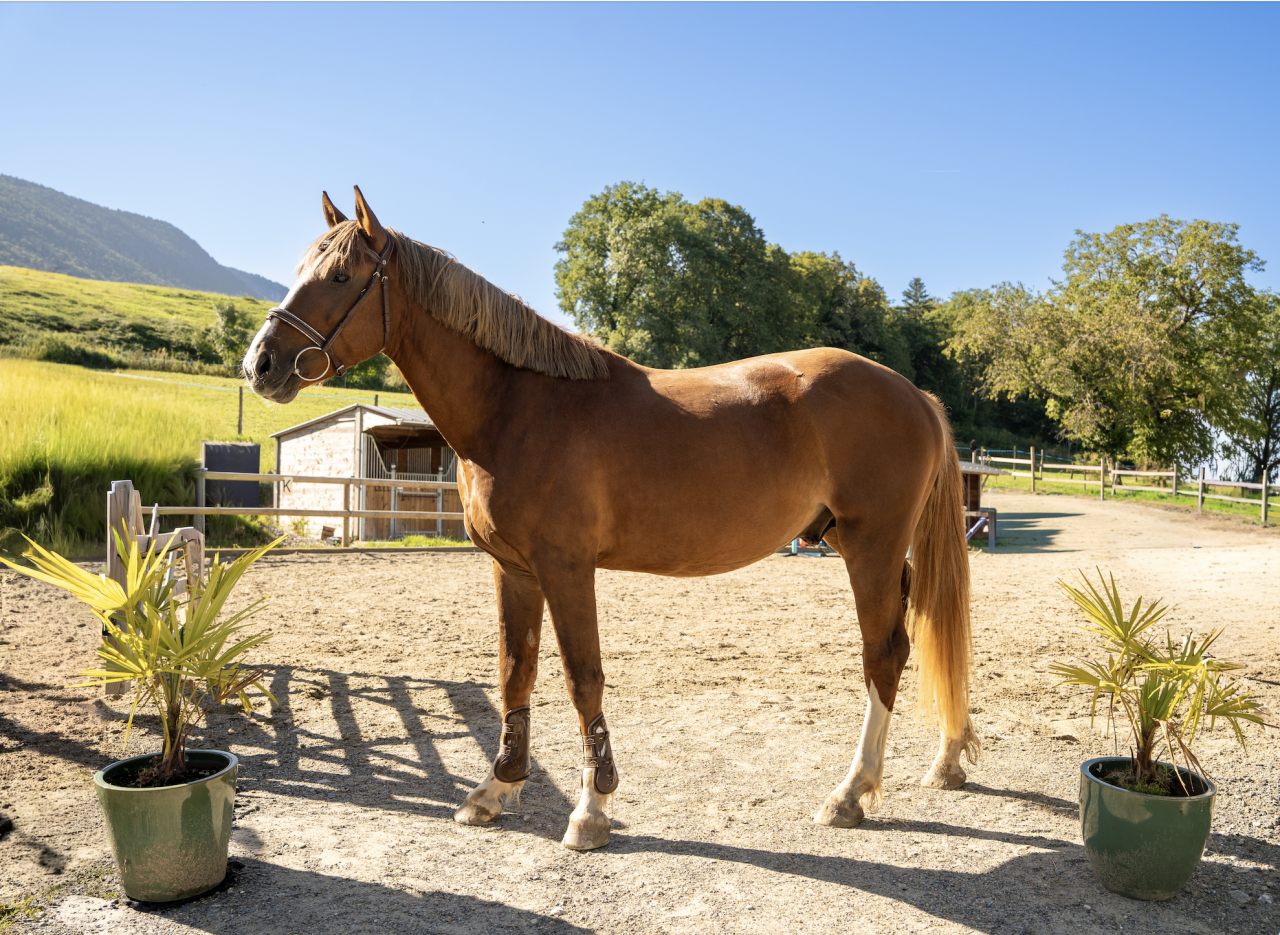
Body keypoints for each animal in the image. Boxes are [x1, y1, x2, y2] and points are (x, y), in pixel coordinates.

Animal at [243, 186, 980, 851]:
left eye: (341, 276)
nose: (262, 363)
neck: (517, 405)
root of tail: (914, 394)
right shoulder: (512, 570)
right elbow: (515, 671)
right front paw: (497, 787)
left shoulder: (567, 569)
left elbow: (581, 677)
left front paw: (591, 809)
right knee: (919, 634)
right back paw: (945, 759)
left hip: (870, 549)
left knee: (883, 654)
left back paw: (851, 792)